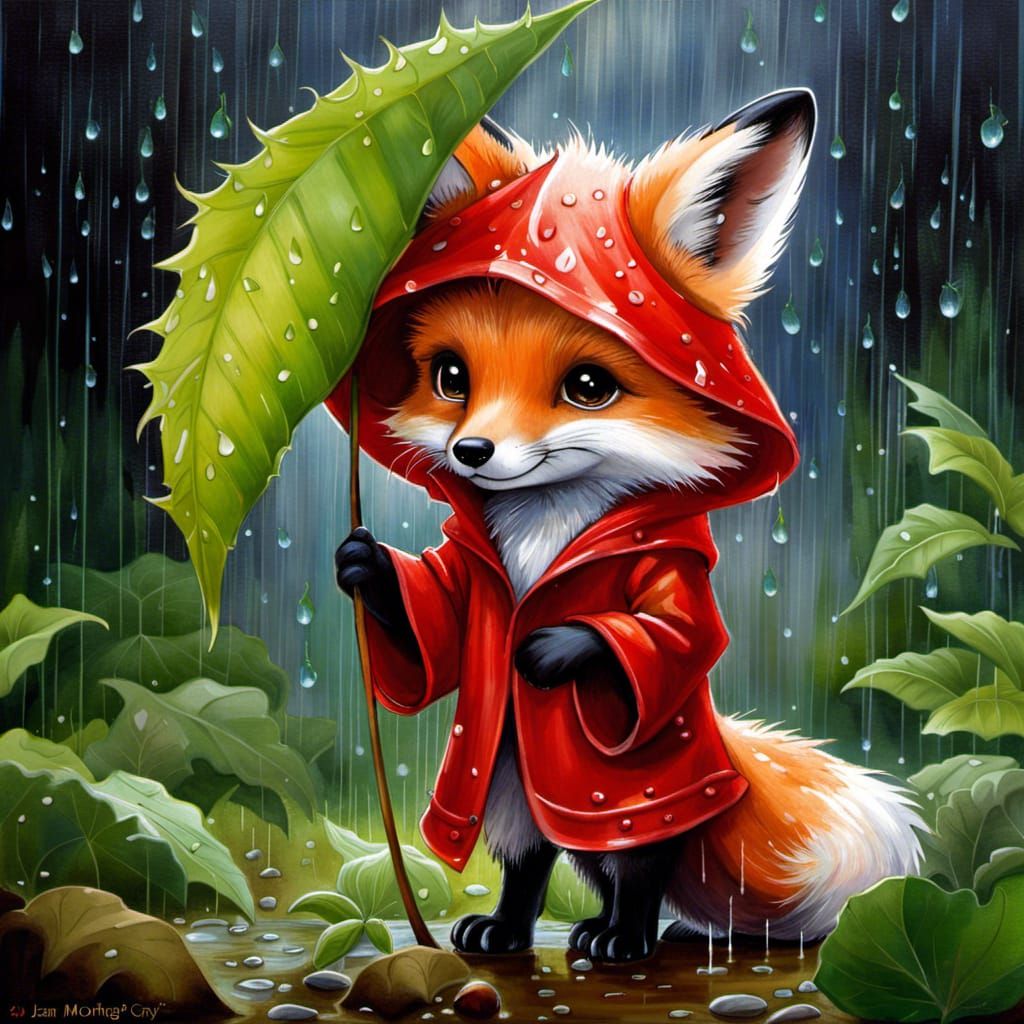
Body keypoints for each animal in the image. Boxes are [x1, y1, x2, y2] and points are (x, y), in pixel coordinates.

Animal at [329, 89, 924, 963]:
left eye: (587, 386)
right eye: (451, 376)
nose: (472, 452)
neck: (544, 529)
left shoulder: (671, 567)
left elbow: (675, 634)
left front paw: (556, 647)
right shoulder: (471, 575)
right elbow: (433, 624)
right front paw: (365, 569)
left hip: (629, 798)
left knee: (640, 868)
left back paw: (625, 937)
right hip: (509, 781)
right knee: (538, 858)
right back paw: (512, 931)